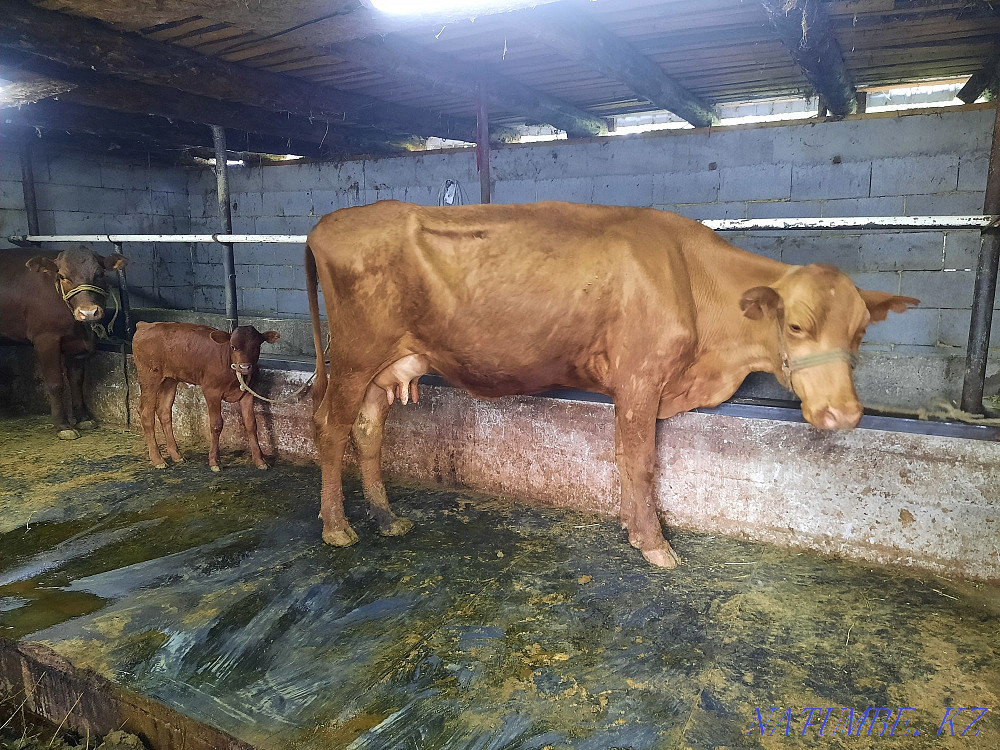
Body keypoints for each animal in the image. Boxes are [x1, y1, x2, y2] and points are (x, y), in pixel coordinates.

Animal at [0, 246, 127, 439]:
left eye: (100, 274)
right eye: (62, 276)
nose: (88, 312)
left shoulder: (77, 345)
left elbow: (76, 381)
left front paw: (83, 418)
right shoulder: (45, 339)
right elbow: (55, 383)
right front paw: (62, 425)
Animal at [132, 322, 279, 471]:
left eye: (257, 346)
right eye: (233, 346)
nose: (244, 367)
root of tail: (145, 325)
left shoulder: (248, 393)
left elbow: (251, 424)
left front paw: (260, 460)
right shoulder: (211, 391)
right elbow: (216, 424)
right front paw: (214, 461)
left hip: (170, 380)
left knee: (164, 411)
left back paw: (176, 455)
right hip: (150, 378)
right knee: (146, 412)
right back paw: (157, 459)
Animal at [304, 201, 918, 568]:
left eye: (861, 331)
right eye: (795, 326)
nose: (844, 414)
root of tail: (328, 222)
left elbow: (625, 457)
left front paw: (632, 527)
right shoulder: (642, 378)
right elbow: (641, 460)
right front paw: (654, 544)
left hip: (387, 364)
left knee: (368, 428)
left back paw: (387, 519)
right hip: (354, 356)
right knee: (329, 425)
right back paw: (337, 527)